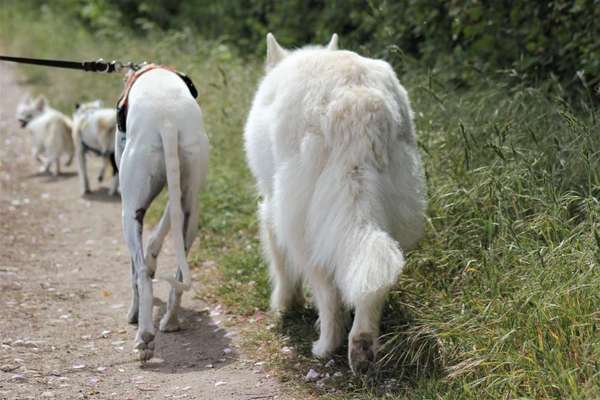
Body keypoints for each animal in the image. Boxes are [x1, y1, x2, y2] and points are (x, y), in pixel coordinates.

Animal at [244, 32, 426, 374]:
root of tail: (356, 101)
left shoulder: (271, 210)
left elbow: (281, 265)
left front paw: (285, 305)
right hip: (387, 208)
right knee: (372, 278)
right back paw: (363, 347)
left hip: (303, 223)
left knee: (327, 291)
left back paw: (326, 346)